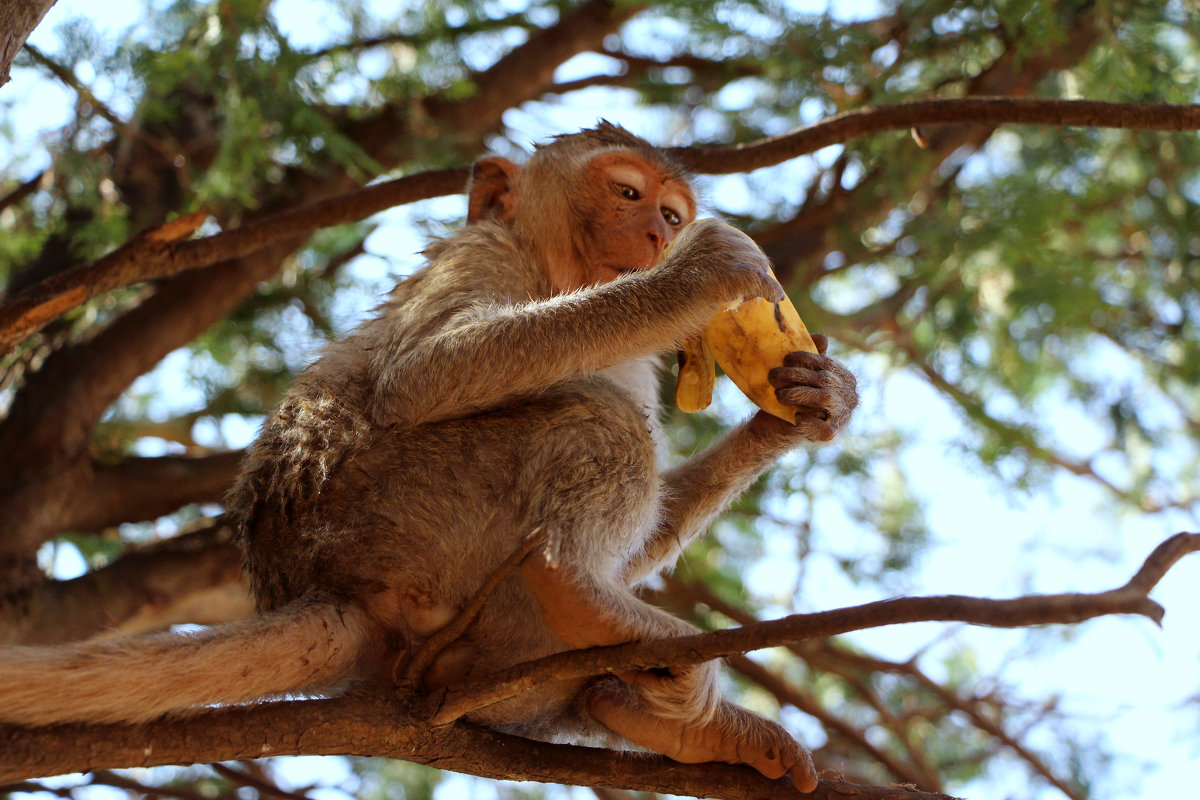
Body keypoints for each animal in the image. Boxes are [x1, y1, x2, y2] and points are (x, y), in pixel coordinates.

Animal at [0, 122, 859, 791]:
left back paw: (656, 712)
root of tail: (321, 584)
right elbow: (427, 373)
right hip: (407, 516)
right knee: (600, 418)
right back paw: (577, 588)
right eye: (626, 194)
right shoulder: (480, 256)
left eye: (670, 210)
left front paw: (804, 406)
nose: (657, 234)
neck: (550, 268)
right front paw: (695, 274)